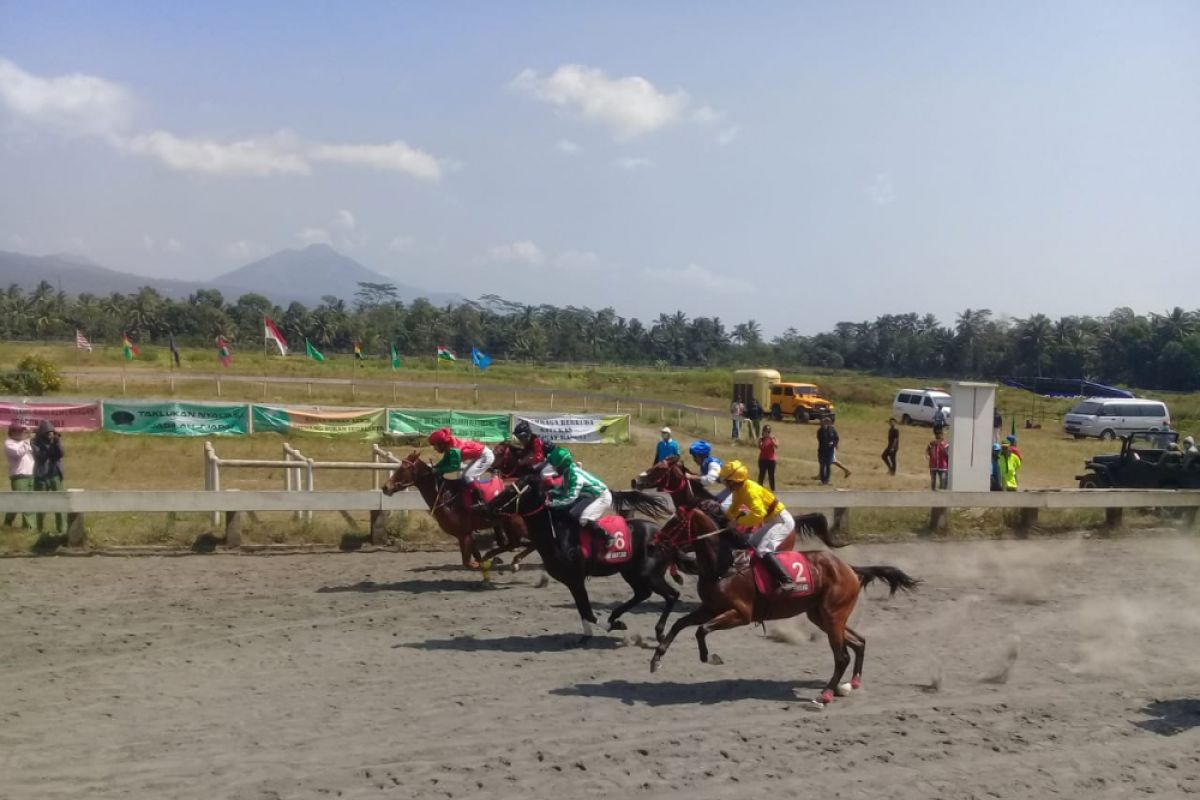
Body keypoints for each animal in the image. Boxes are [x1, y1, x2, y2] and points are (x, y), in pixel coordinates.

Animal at [381, 450, 532, 568]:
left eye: (404, 468)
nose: (385, 487)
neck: (445, 495)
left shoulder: (463, 534)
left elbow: (469, 563)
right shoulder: (466, 534)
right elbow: (476, 557)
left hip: (516, 522)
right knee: (517, 543)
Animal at [480, 474, 686, 642]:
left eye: (508, 491)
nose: (486, 507)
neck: (557, 535)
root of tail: (666, 535)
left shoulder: (576, 579)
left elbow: (587, 611)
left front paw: (612, 626)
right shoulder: (571, 582)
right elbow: (582, 610)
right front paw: (587, 635)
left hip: (649, 574)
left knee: (671, 595)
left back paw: (658, 632)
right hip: (631, 572)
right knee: (643, 593)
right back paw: (615, 615)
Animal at [648, 506, 916, 705]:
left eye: (674, 523)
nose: (654, 543)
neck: (724, 566)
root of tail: (849, 568)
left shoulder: (741, 614)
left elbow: (701, 630)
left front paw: (710, 656)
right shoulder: (711, 608)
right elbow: (681, 624)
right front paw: (656, 659)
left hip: (833, 615)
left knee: (842, 657)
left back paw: (825, 695)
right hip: (821, 616)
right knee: (859, 642)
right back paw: (851, 684)